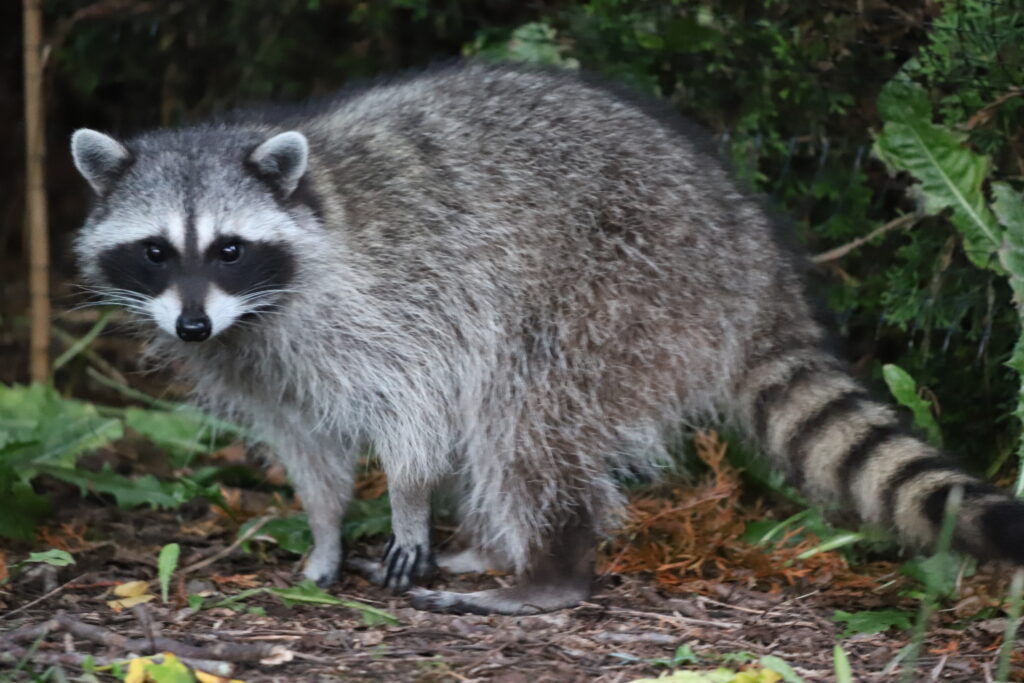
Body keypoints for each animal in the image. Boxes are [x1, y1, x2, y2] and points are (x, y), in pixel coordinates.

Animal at [71, 61, 1024, 615]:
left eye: (228, 248)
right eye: (157, 251)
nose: (192, 323)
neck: (261, 302)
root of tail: (752, 254)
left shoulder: (393, 297)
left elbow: (417, 410)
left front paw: (407, 501)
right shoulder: (260, 359)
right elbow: (309, 449)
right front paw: (327, 531)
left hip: (624, 288)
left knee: (526, 414)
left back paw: (550, 571)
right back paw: (499, 548)